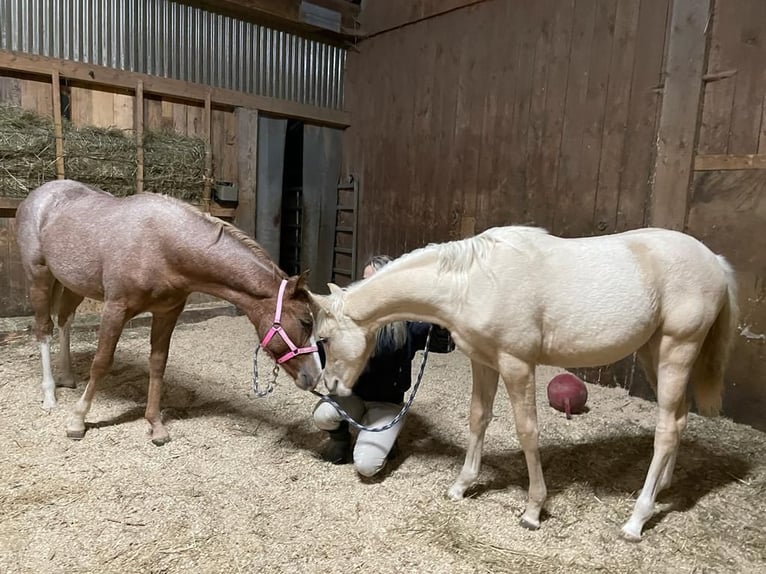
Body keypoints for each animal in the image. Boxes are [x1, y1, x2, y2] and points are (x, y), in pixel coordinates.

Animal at [15, 180, 320, 446]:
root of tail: (41, 193)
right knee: (44, 330)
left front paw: (155, 425)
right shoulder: (115, 309)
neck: (162, 245)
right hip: (39, 277)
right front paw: (77, 420)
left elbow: (158, 363)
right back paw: (50, 395)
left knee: (65, 321)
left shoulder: (167, 312)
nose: (314, 377)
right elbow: (101, 362)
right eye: (305, 321)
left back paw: (67, 377)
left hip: (72, 283)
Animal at [308, 227, 740, 544]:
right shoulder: (484, 363)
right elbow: (478, 418)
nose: (327, 385)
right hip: (654, 356)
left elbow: (527, 431)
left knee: (666, 429)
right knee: (678, 421)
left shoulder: (517, 365)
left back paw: (636, 519)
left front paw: (533, 511)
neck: (474, 281)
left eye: (324, 338)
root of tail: (714, 262)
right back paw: (663, 486)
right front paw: (461, 486)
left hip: (676, 351)